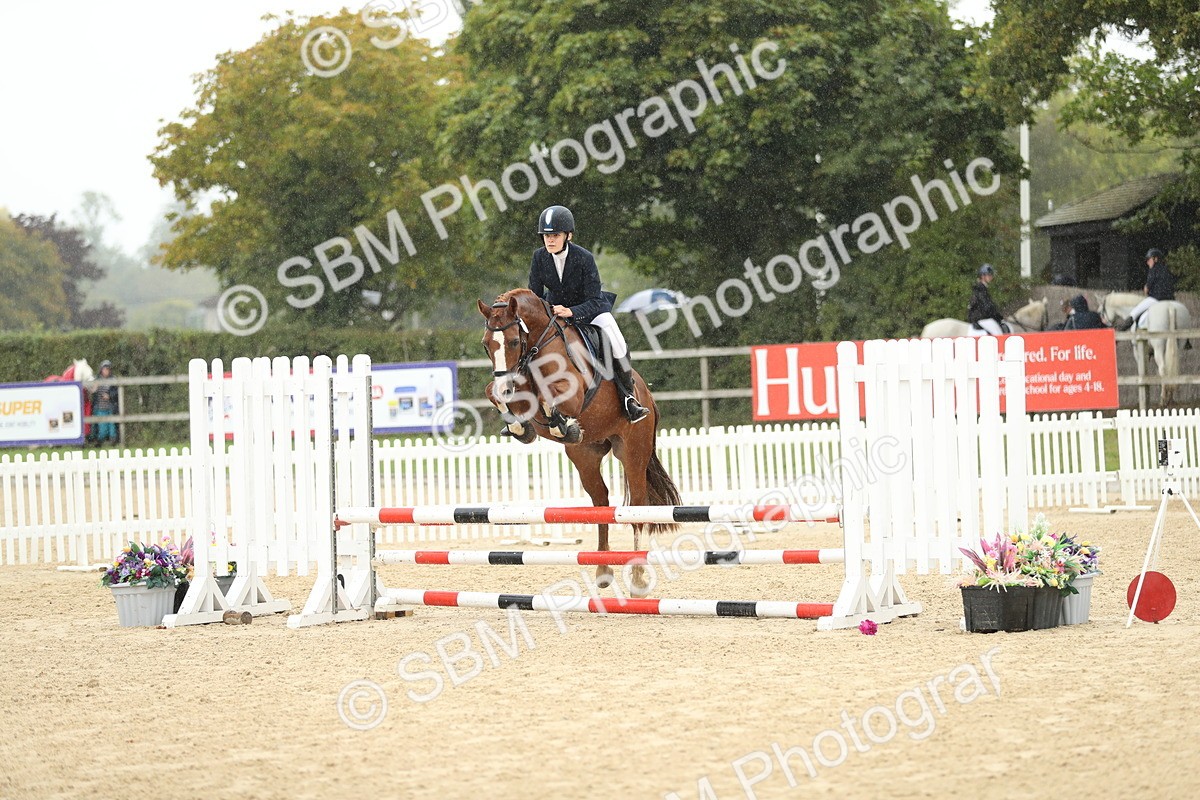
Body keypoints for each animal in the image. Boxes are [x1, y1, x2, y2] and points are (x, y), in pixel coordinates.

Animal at [478, 289, 682, 596]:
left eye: (513, 341)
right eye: (486, 345)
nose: (507, 387)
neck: (536, 346)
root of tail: (648, 397)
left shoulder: (571, 394)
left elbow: (549, 396)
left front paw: (559, 422)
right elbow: (495, 392)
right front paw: (520, 426)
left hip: (633, 451)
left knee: (637, 506)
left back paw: (637, 578)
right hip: (586, 456)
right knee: (601, 502)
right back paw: (603, 570)